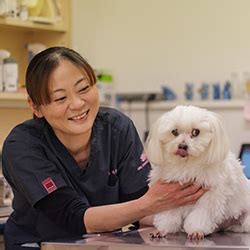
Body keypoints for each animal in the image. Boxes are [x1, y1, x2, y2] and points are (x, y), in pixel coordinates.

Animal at [145, 104, 250, 239]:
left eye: (196, 132)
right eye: (174, 132)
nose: (182, 146)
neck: (187, 164)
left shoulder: (210, 197)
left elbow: (200, 216)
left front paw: (196, 230)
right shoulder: (169, 198)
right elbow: (167, 216)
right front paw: (163, 230)